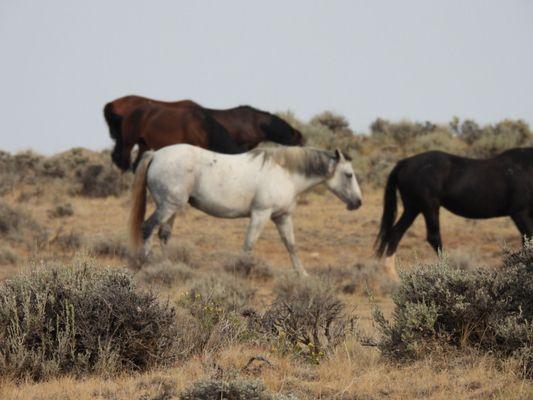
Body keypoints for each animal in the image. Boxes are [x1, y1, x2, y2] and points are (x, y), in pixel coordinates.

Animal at [129, 145, 362, 278]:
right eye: (349, 175)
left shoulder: (282, 217)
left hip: (172, 208)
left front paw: (302, 274)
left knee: (164, 234)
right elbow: (249, 244)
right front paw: (241, 269)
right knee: (148, 228)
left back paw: (167, 265)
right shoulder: (261, 214)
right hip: (167, 206)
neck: (285, 172)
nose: (358, 202)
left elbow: (291, 246)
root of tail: (156, 155)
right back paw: (146, 264)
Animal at [374, 147, 532, 256]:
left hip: (413, 208)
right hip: (429, 207)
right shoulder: (520, 213)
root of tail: (405, 162)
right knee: (433, 238)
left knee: (395, 234)